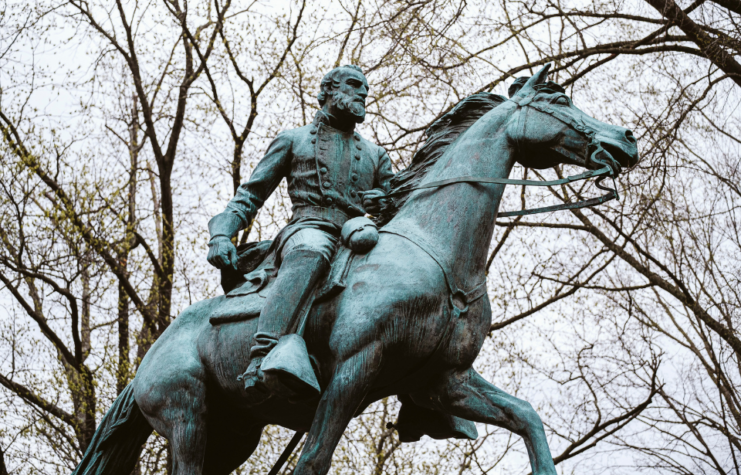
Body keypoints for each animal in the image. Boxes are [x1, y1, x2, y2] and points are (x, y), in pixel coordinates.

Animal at [72, 65, 640, 475]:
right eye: (560, 100)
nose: (627, 138)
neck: (434, 251)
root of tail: (150, 355)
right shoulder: (355, 369)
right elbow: (314, 459)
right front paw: (222, 249)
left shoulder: (443, 380)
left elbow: (527, 417)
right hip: (187, 416)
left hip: (233, 432)